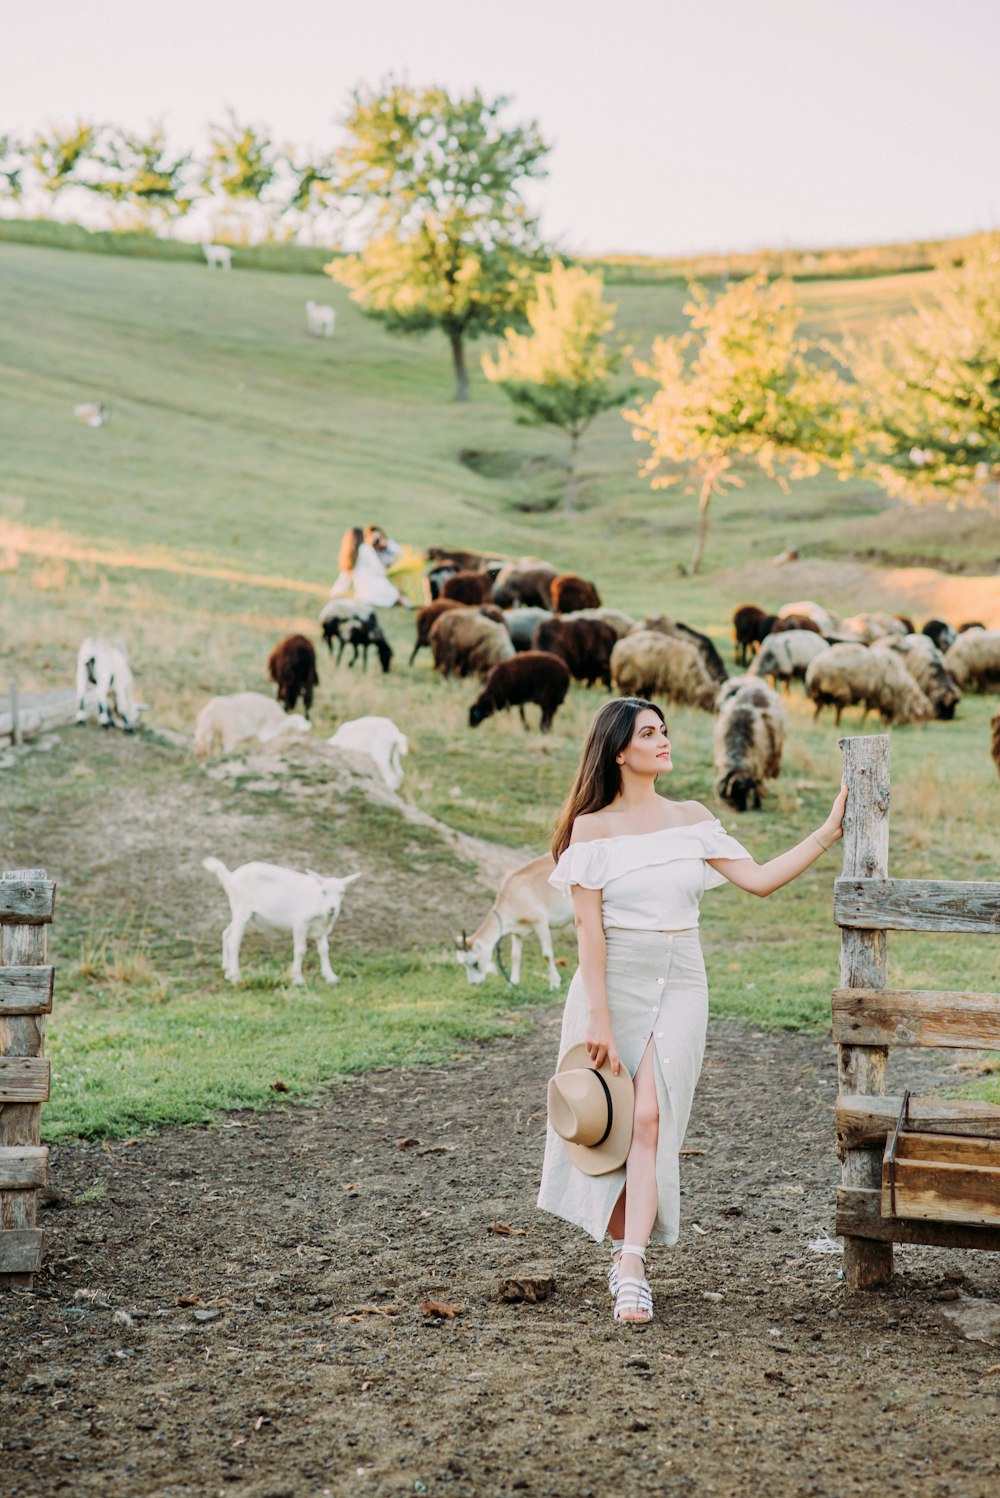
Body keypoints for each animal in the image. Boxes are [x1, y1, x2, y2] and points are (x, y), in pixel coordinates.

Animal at [202, 862, 359, 988]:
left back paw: (227, 972)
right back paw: (236, 978)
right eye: (324, 891)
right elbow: (301, 950)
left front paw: (331, 977)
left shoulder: (321, 930)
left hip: (240, 913)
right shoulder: (301, 923)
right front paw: (298, 979)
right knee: (234, 942)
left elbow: (324, 950)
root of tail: (230, 877)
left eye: (342, 892)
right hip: (242, 911)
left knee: (226, 934)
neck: (320, 904)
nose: (332, 908)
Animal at [458, 856, 574, 994]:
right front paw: (512, 983)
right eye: (463, 964)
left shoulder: (540, 923)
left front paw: (555, 984)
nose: (474, 983)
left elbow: (546, 955)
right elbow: (515, 956)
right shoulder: (517, 930)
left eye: (475, 963)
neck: (514, 894)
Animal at [715, 680, 784, 814]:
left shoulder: (758, 762)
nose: (739, 809)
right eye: (734, 792)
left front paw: (757, 804)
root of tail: (751, 682)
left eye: (745, 791)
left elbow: (757, 784)